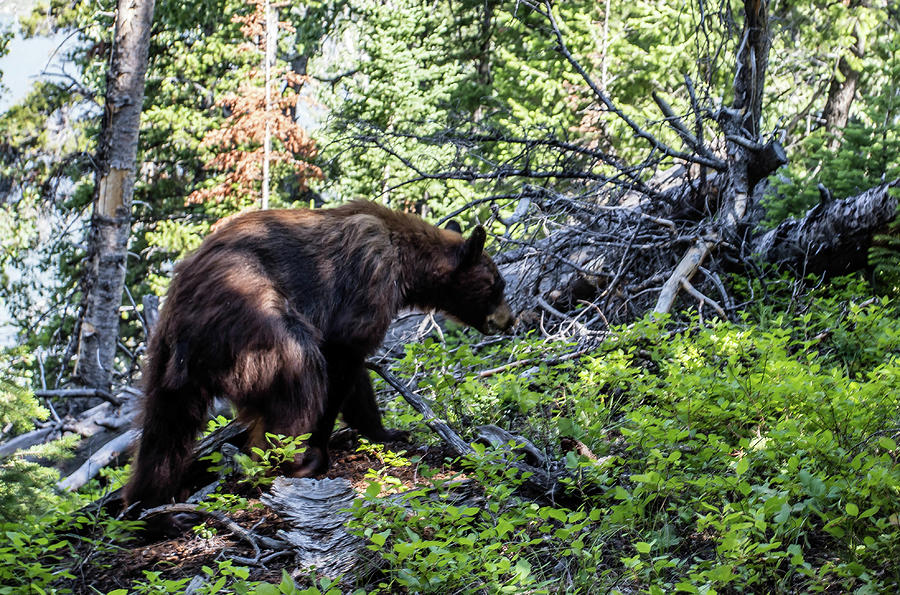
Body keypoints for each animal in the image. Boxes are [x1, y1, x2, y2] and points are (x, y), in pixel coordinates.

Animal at [125, 200, 512, 508]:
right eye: (497, 285)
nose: (509, 320)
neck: (406, 260)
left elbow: (357, 375)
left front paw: (387, 432)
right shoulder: (367, 280)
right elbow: (342, 360)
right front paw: (319, 449)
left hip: (164, 357)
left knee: (164, 426)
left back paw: (149, 500)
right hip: (252, 318)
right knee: (298, 372)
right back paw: (290, 461)